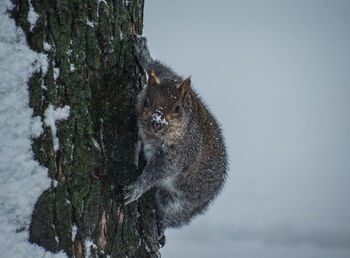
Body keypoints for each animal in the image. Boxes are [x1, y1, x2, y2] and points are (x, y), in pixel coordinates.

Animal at [124, 35, 228, 242]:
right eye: (146, 101)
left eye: (177, 108)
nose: (157, 122)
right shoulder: (170, 78)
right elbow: (160, 68)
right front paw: (143, 54)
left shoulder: (182, 152)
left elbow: (160, 170)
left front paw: (137, 188)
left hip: (179, 202)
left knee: (172, 217)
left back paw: (161, 227)